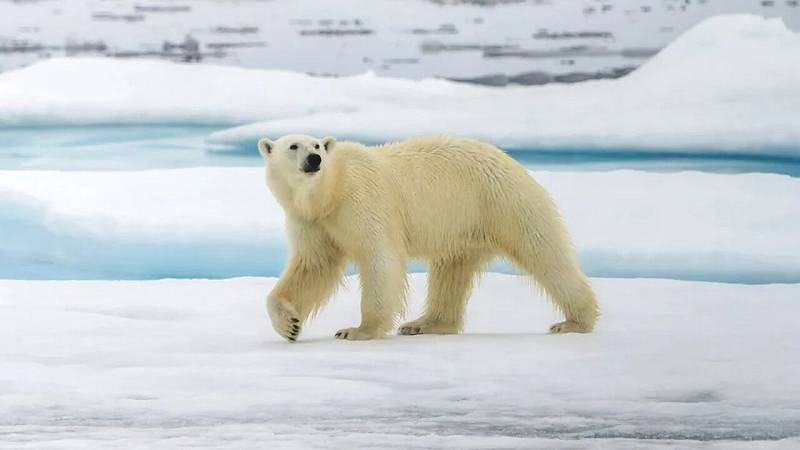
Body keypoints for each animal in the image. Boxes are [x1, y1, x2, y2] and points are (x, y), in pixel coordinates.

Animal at [258, 134, 598, 341]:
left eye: (316, 145)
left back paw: (574, 321)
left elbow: (380, 259)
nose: (314, 159)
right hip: (464, 224)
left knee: (544, 253)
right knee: (451, 271)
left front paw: (357, 330)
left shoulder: (363, 201)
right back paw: (425, 323)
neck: (330, 192)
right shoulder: (313, 222)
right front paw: (289, 325)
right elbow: (312, 267)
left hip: (502, 201)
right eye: (293, 146)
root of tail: (510, 160)